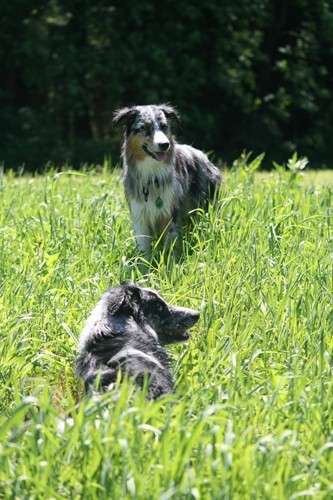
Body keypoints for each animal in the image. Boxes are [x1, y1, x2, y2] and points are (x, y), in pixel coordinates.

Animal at [113, 104, 222, 254]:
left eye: (164, 126)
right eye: (144, 127)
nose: (165, 144)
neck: (151, 174)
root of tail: (205, 157)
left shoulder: (170, 214)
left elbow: (170, 247)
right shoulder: (139, 215)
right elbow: (143, 250)